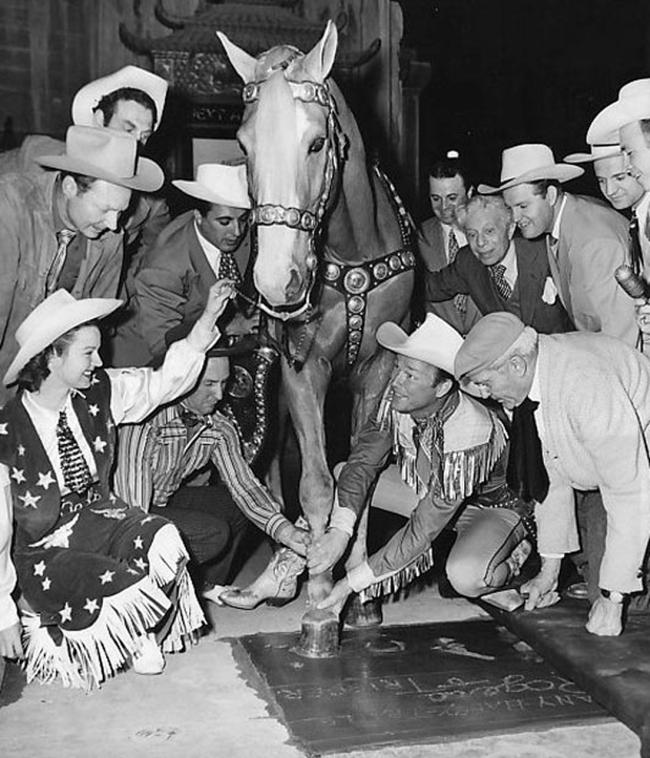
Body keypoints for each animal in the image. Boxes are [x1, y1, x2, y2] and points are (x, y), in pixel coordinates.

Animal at [215, 22, 412, 612]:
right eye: (244, 146)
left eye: (317, 143)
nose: (278, 281)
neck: (348, 255)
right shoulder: (302, 369)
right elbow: (317, 484)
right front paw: (319, 590)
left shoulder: (379, 371)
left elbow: (360, 475)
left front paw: (358, 594)